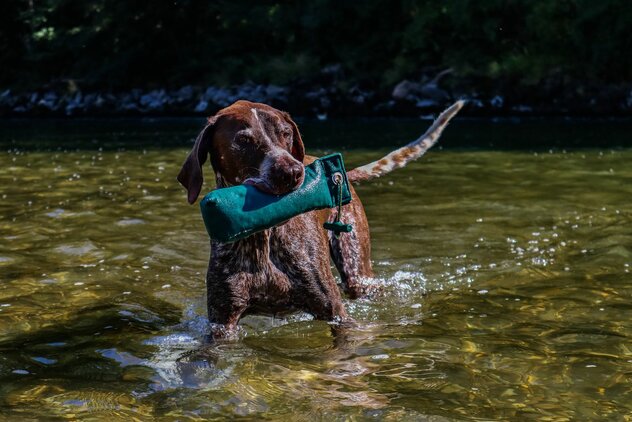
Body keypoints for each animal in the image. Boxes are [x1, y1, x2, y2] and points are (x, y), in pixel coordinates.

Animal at [178, 99, 464, 336]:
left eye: (285, 133)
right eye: (243, 141)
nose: (293, 172)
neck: (263, 239)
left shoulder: (334, 312)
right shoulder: (222, 323)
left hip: (356, 269)